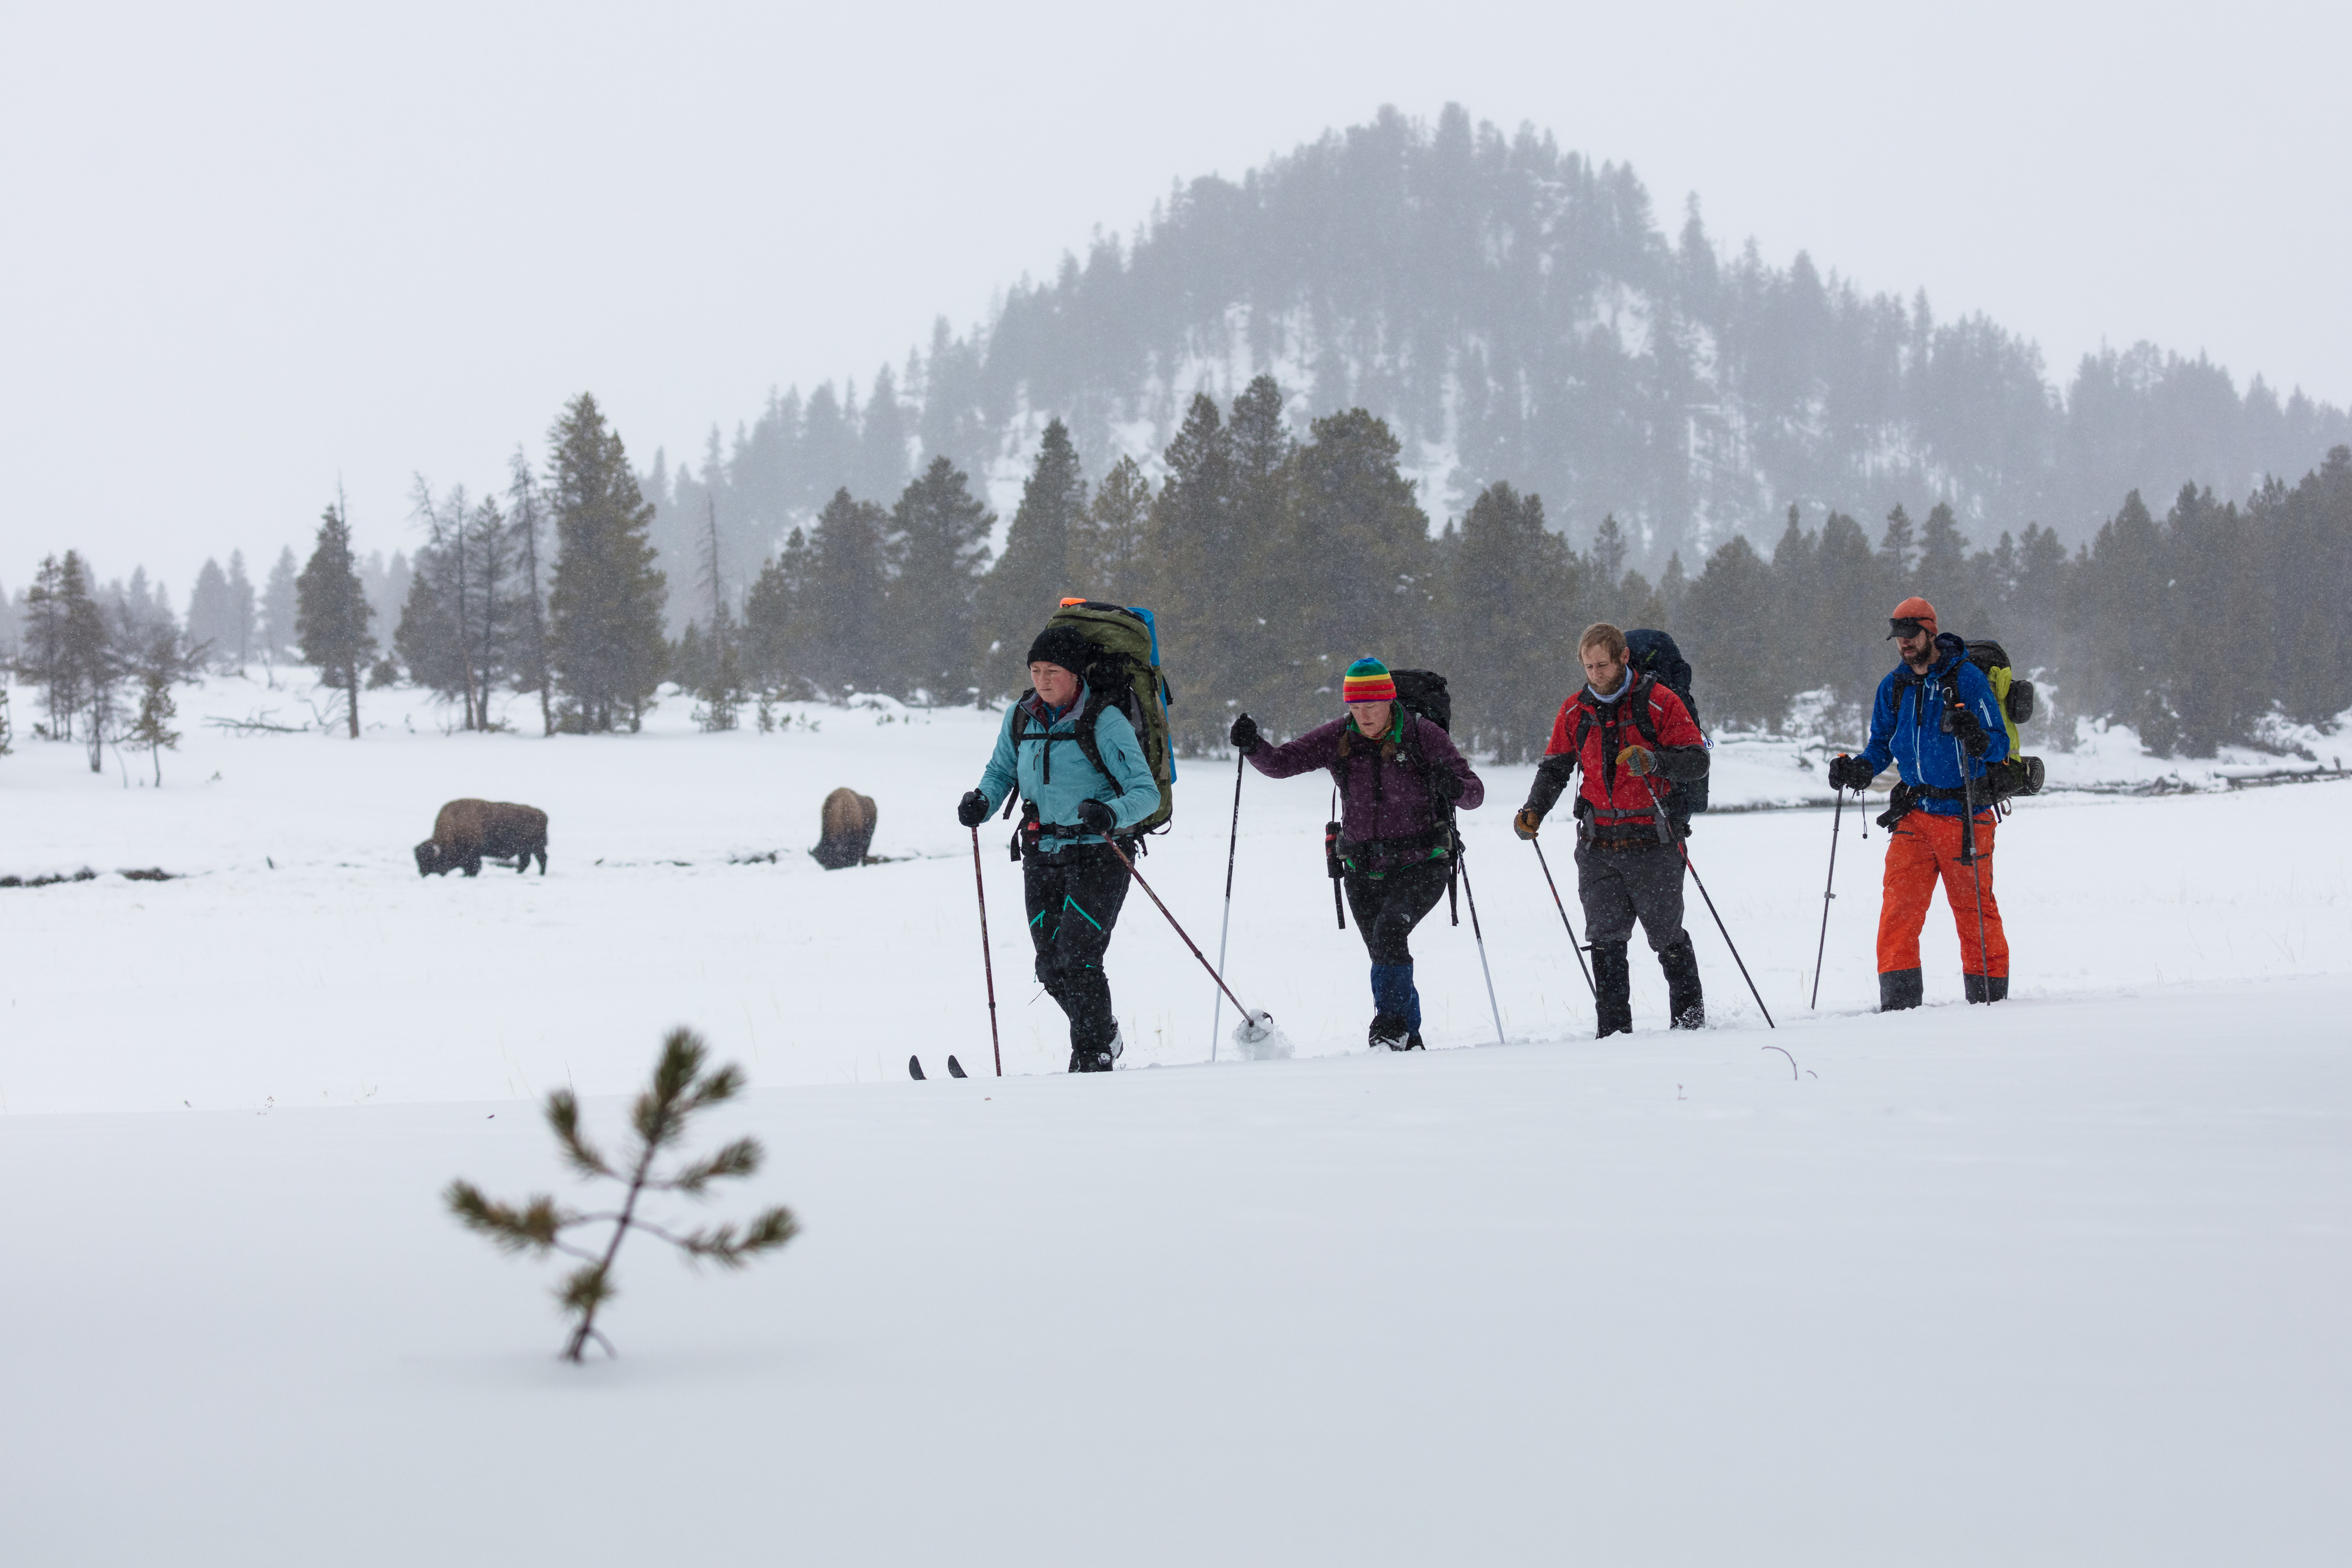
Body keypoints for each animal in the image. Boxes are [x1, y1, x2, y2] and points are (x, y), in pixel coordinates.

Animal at [419, 803, 550, 879]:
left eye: (429, 860)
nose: (422, 873)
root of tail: (542, 814)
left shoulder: (472, 853)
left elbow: (472, 865)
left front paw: (469, 875)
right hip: (525, 850)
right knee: (526, 862)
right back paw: (518, 874)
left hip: (536, 847)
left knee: (541, 859)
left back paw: (541, 874)